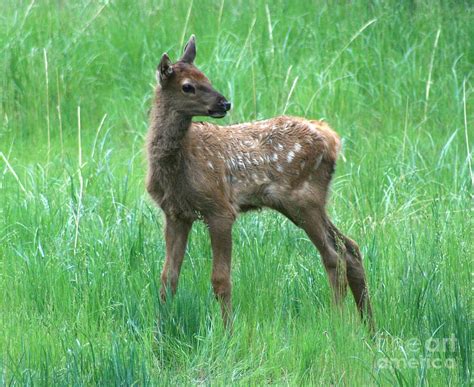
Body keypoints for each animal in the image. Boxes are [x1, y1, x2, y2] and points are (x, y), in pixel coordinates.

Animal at [144, 35, 374, 334]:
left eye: (206, 77)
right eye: (188, 86)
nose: (225, 103)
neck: (178, 166)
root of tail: (333, 138)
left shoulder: (220, 208)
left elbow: (220, 280)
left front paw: (228, 334)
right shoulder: (176, 213)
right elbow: (167, 278)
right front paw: (160, 331)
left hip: (304, 198)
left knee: (333, 254)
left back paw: (338, 321)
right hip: (303, 203)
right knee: (350, 247)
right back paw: (369, 327)